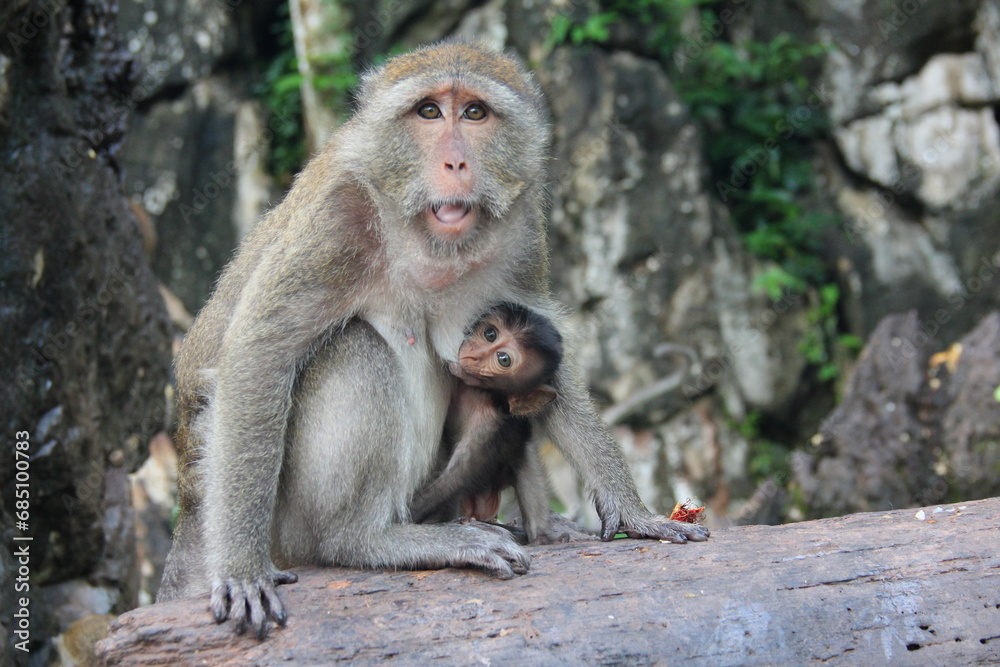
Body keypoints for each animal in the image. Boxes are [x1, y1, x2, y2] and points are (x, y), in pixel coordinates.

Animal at [408, 302, 564, 544]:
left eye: (503, 359)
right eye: (490, 334)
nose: (475, 355)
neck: (474, 391)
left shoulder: (488, 424)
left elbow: (460, 475)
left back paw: (539, 536)